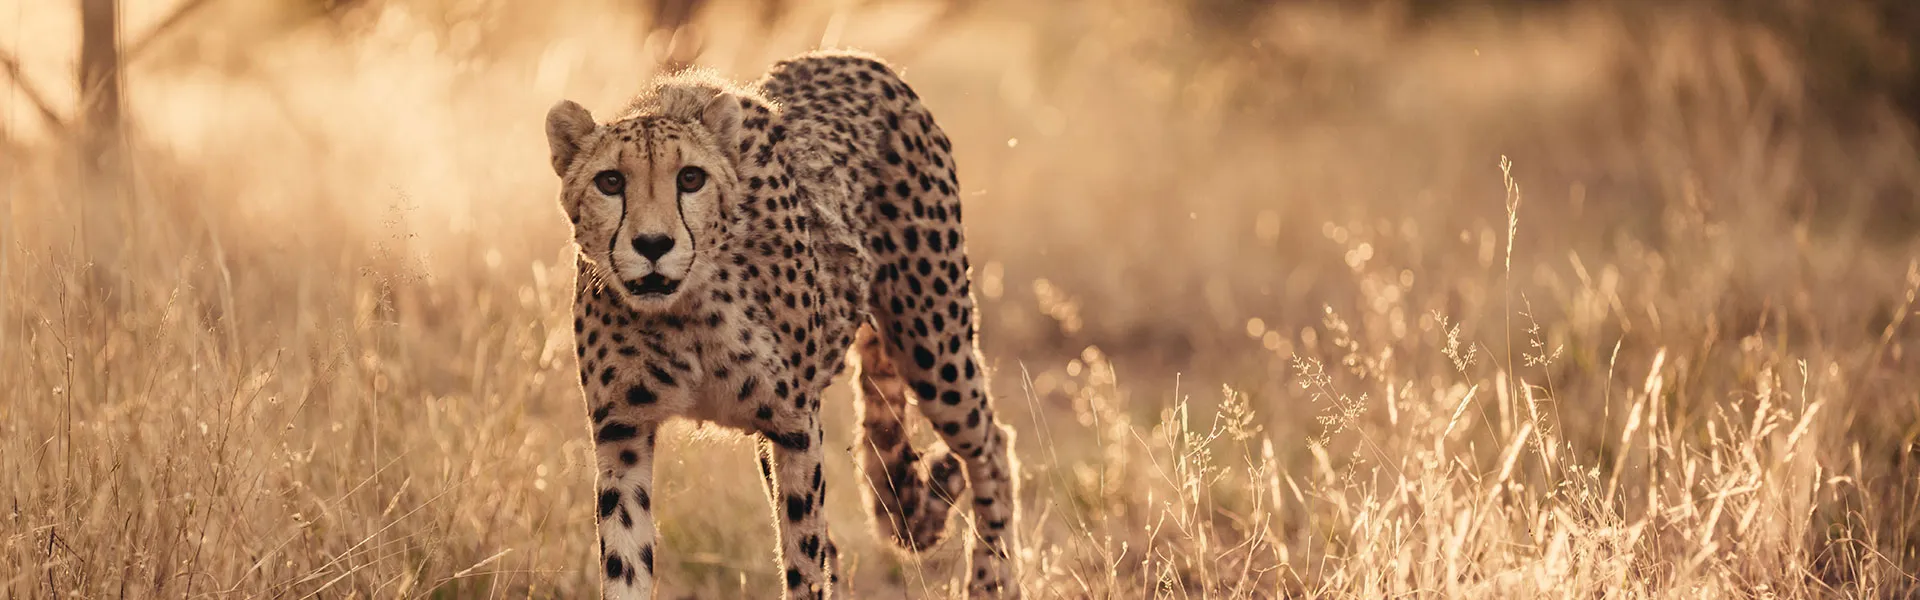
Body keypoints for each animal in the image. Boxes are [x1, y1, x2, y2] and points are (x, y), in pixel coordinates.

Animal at [543, 49, 1019, 600]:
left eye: (690, 178)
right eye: (610, 182)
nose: (654, 244)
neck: (683, 314)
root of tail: (855, 57)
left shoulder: (794, 427)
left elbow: (804, 555)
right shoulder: (622, 434)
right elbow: (626, 560)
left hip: (931, 345)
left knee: (991, 443)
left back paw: (992, 579)